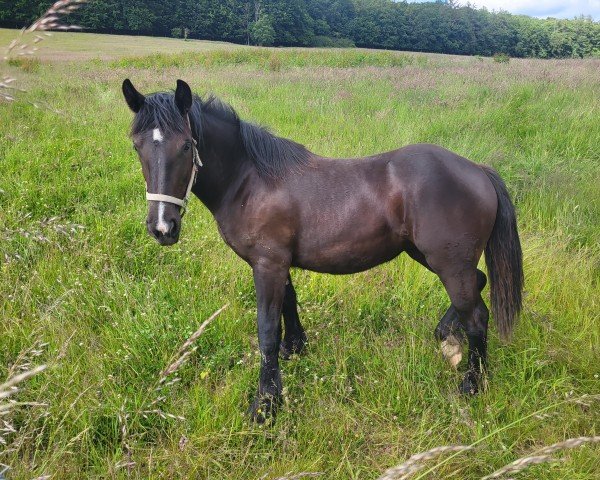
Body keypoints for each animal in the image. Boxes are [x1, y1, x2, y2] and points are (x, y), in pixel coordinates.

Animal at [120, 79, 520, 424]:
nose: (162, 228)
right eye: (137, 146)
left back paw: (473, 382)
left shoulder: (267, 264)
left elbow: (267, 329)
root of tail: (478, 170)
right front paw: (295, 348)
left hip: (448, 263)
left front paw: (266, 404)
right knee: (478, 283)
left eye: (186, 146)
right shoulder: (278, 263)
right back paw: (445, 333)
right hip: (430, 255)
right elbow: (289, 303)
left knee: (478, 316)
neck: (250, 180)